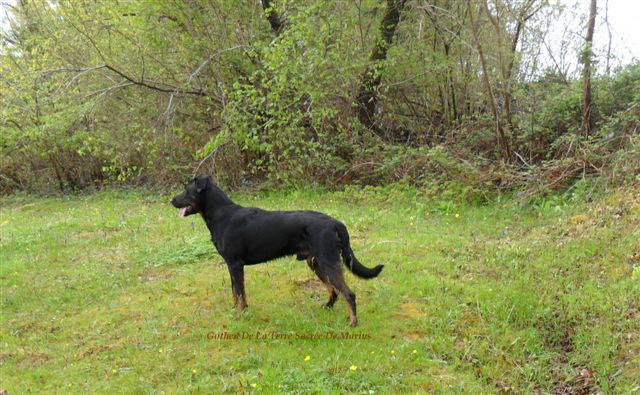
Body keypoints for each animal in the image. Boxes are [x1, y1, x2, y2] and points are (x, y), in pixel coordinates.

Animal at [170, 178, 382, 326]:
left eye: (187, 190)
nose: (171, 200)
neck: (222, 215)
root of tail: (336, 223)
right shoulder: (230, 265)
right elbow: (234, 293)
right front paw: (233, 311)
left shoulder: (236, 265)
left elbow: (241, 294)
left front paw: (241, 315)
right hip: (316, 262)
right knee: (334, 290)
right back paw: (326, 308)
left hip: (327, 260)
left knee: (348, 293)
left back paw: (353, 322)